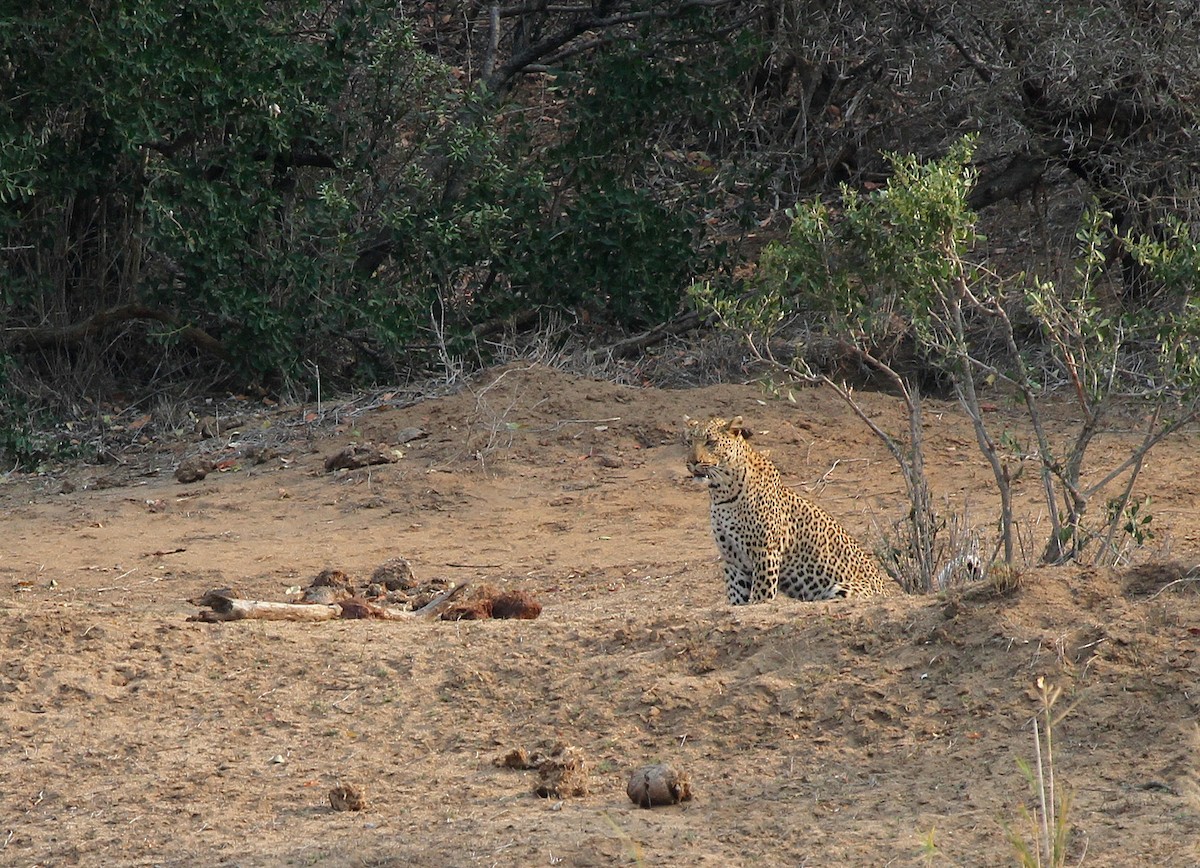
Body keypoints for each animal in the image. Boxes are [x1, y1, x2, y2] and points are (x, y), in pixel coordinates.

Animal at [685, 414, 900, 604]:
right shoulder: (733, 560)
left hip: (842, 588)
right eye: (688, 442)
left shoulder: (766, 551)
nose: (693, 462)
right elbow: (736, 598)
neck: (721, 492)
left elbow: (762, 595)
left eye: (710, 442)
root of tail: (888, 591)